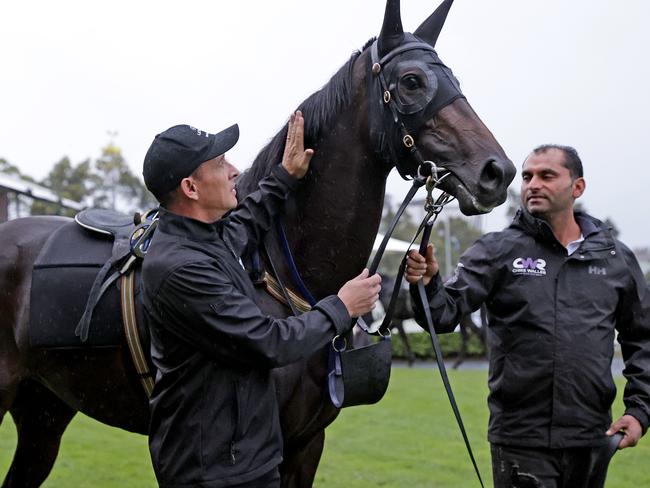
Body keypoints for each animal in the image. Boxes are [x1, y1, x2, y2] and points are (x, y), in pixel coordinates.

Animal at [0, 1, 512, 486]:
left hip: (44, 410)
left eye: (454, 78)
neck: (278, 271)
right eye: (411, 81)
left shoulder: (307, 444)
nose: (497, 172)